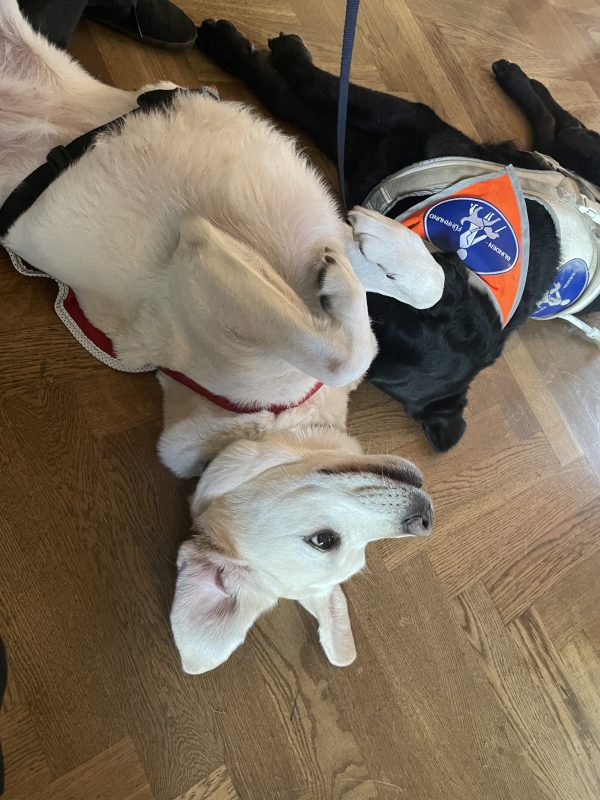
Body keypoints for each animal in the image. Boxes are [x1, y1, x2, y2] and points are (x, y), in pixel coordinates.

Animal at [0, 1, 440, 676]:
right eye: (324, 540)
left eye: (358, 553)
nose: (424, 518)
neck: (267, 412)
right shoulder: (203, 270)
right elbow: (345, 349)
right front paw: (349, 271)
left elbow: (424, 287)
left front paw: (380, 242)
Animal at [197, 21, 600, 450]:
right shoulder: (395, 131)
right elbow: (293, 96)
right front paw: (239, 48)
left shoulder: (396, 128)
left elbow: (305, 91)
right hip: (570, 152)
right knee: (560, 128)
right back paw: (520, 78)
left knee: (565, 129)